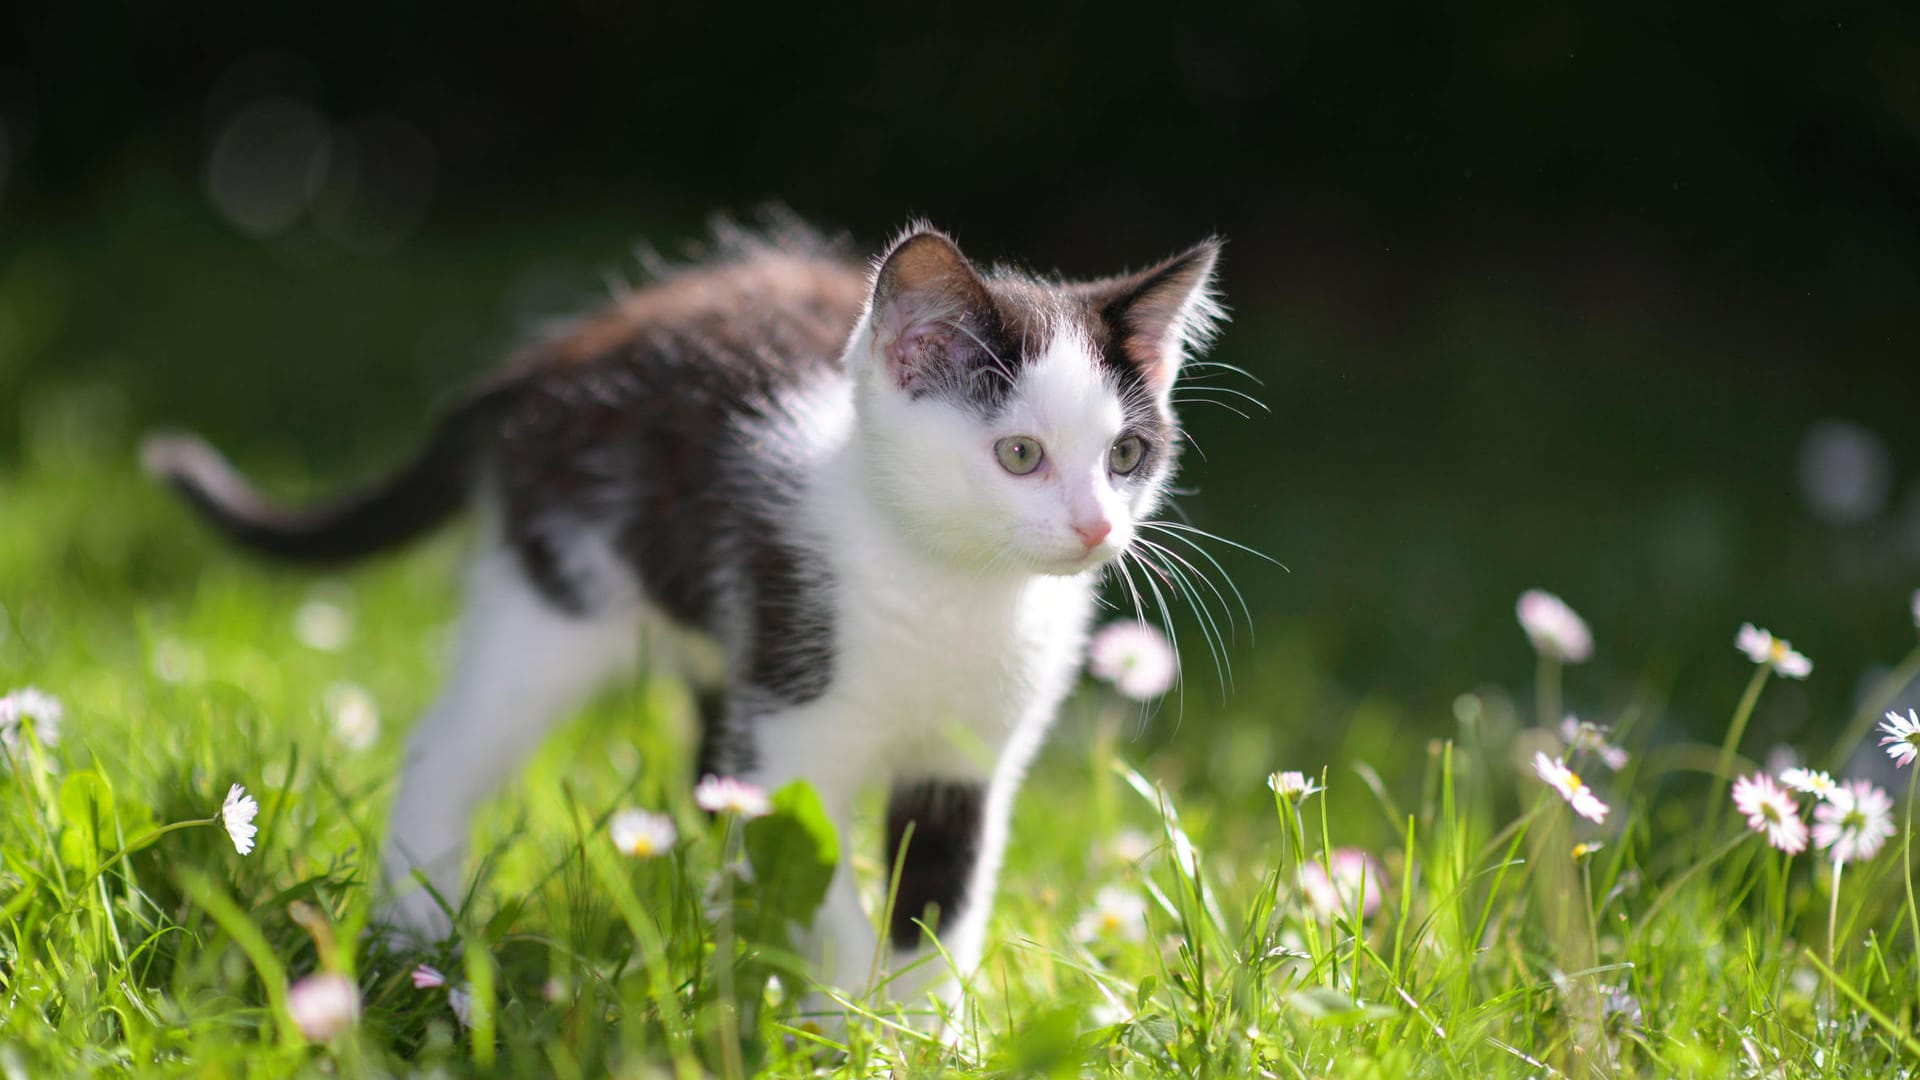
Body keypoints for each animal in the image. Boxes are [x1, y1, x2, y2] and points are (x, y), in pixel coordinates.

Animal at [142, 222, 1221, 1006]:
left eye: (1127, 454)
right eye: (1019, 455)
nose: (1094, 527)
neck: (954, 587)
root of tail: (551, 357)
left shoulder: (969, 759)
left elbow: (939, 904)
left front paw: (917, 1030)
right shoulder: (795, 711)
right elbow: (819, 876)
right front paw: (840, 1013)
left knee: (708, 775)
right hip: (561, 592)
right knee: (451, 747)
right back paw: (416, 935)